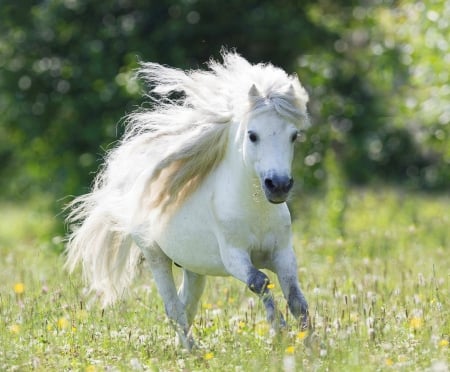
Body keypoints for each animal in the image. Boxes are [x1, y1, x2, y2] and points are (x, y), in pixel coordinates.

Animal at [66, 50, 310, 350]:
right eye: (253, 135)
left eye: (294, 135)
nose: (278, 186)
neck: (256, 211)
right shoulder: (234, 256)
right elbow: (260, 282)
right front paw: (280, 331)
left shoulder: (283, 253)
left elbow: (297, 299)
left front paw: (308, 343)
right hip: (156, 257)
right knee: (173, 307)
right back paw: (192, 351)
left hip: (193, 268)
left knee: (187, 304)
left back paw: (183, 347)